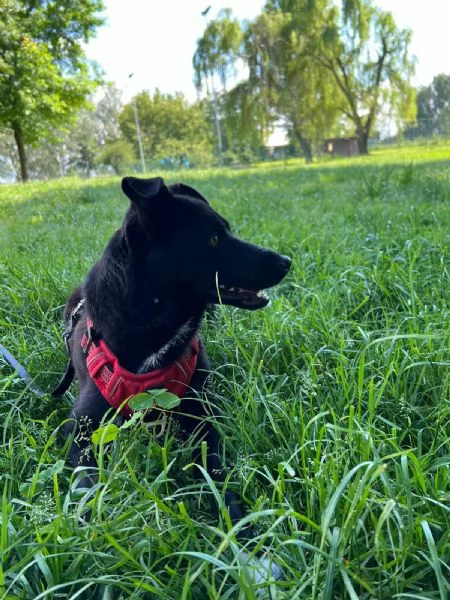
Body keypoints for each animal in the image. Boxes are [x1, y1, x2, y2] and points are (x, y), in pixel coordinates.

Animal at [53, 177, 292, 548]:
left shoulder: (202, 421)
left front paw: (243, 533)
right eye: (213, 238)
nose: (286, 261)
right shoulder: (80, 429)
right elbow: (85, 485)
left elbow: (220, 477)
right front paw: (91, 528)